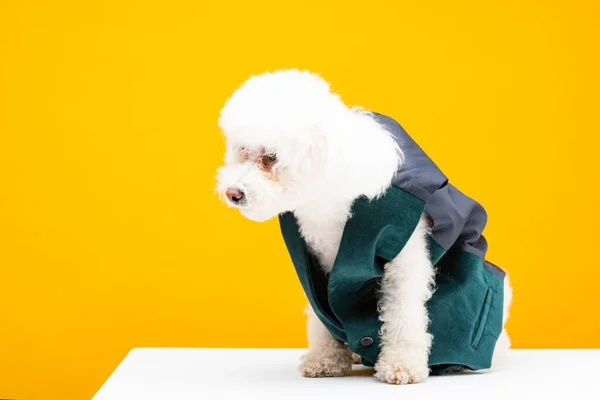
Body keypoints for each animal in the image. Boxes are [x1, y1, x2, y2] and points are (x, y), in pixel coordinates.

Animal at [216, 69, 510, 384]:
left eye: (271, 157)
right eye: (242, 151)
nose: (233, 193)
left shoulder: (404, 258)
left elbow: (403, 315)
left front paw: (402, 365)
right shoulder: (317, 264)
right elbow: (322, 313)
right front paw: (325, 359)